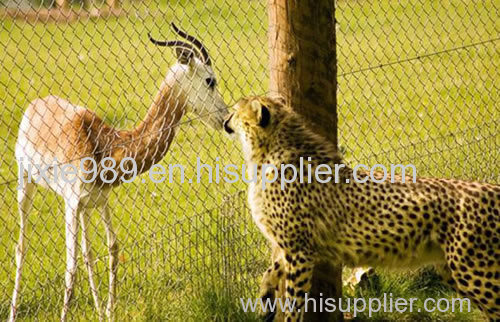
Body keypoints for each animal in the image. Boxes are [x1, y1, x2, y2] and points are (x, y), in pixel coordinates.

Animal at [224, 95, 500, 322]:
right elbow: (271, 270)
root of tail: (491, 189)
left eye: (236, 111)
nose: (225, 118)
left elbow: (294, 302)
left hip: (476, 272)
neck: (267, 154)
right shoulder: (294, 245)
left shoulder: (299, 250)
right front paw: (265, 299)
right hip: (452, 268)